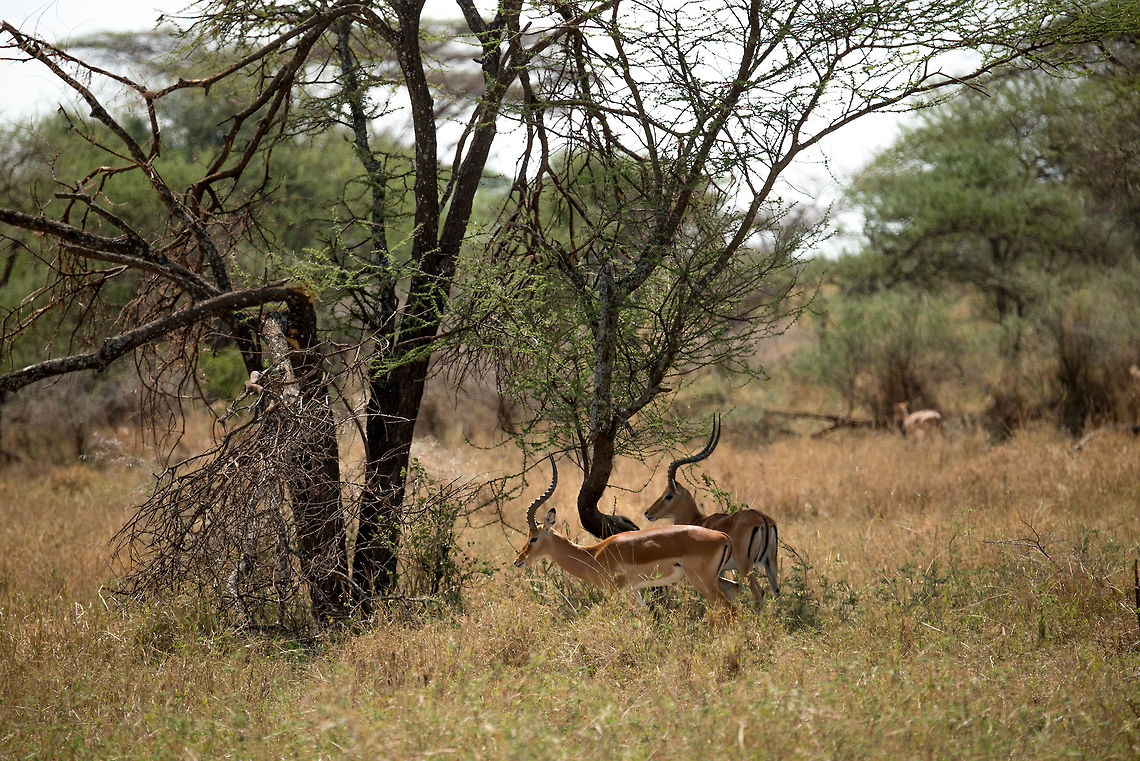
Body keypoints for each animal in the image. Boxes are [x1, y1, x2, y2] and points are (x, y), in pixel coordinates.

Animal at [514, 457, 736, 612]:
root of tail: (724, 537)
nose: (518, 561)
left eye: (533, 538)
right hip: (713, 580)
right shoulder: (634, 590)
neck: (593, 555)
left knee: (729, 609)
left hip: (702, 581)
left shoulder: (612, 591)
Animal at [644, 416, 779, 603]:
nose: (648, 513)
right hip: (770, 562)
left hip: (745, 566)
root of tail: (763, 520)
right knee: (777, 592)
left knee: (758, 592)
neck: (696, 521)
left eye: (668, 495)